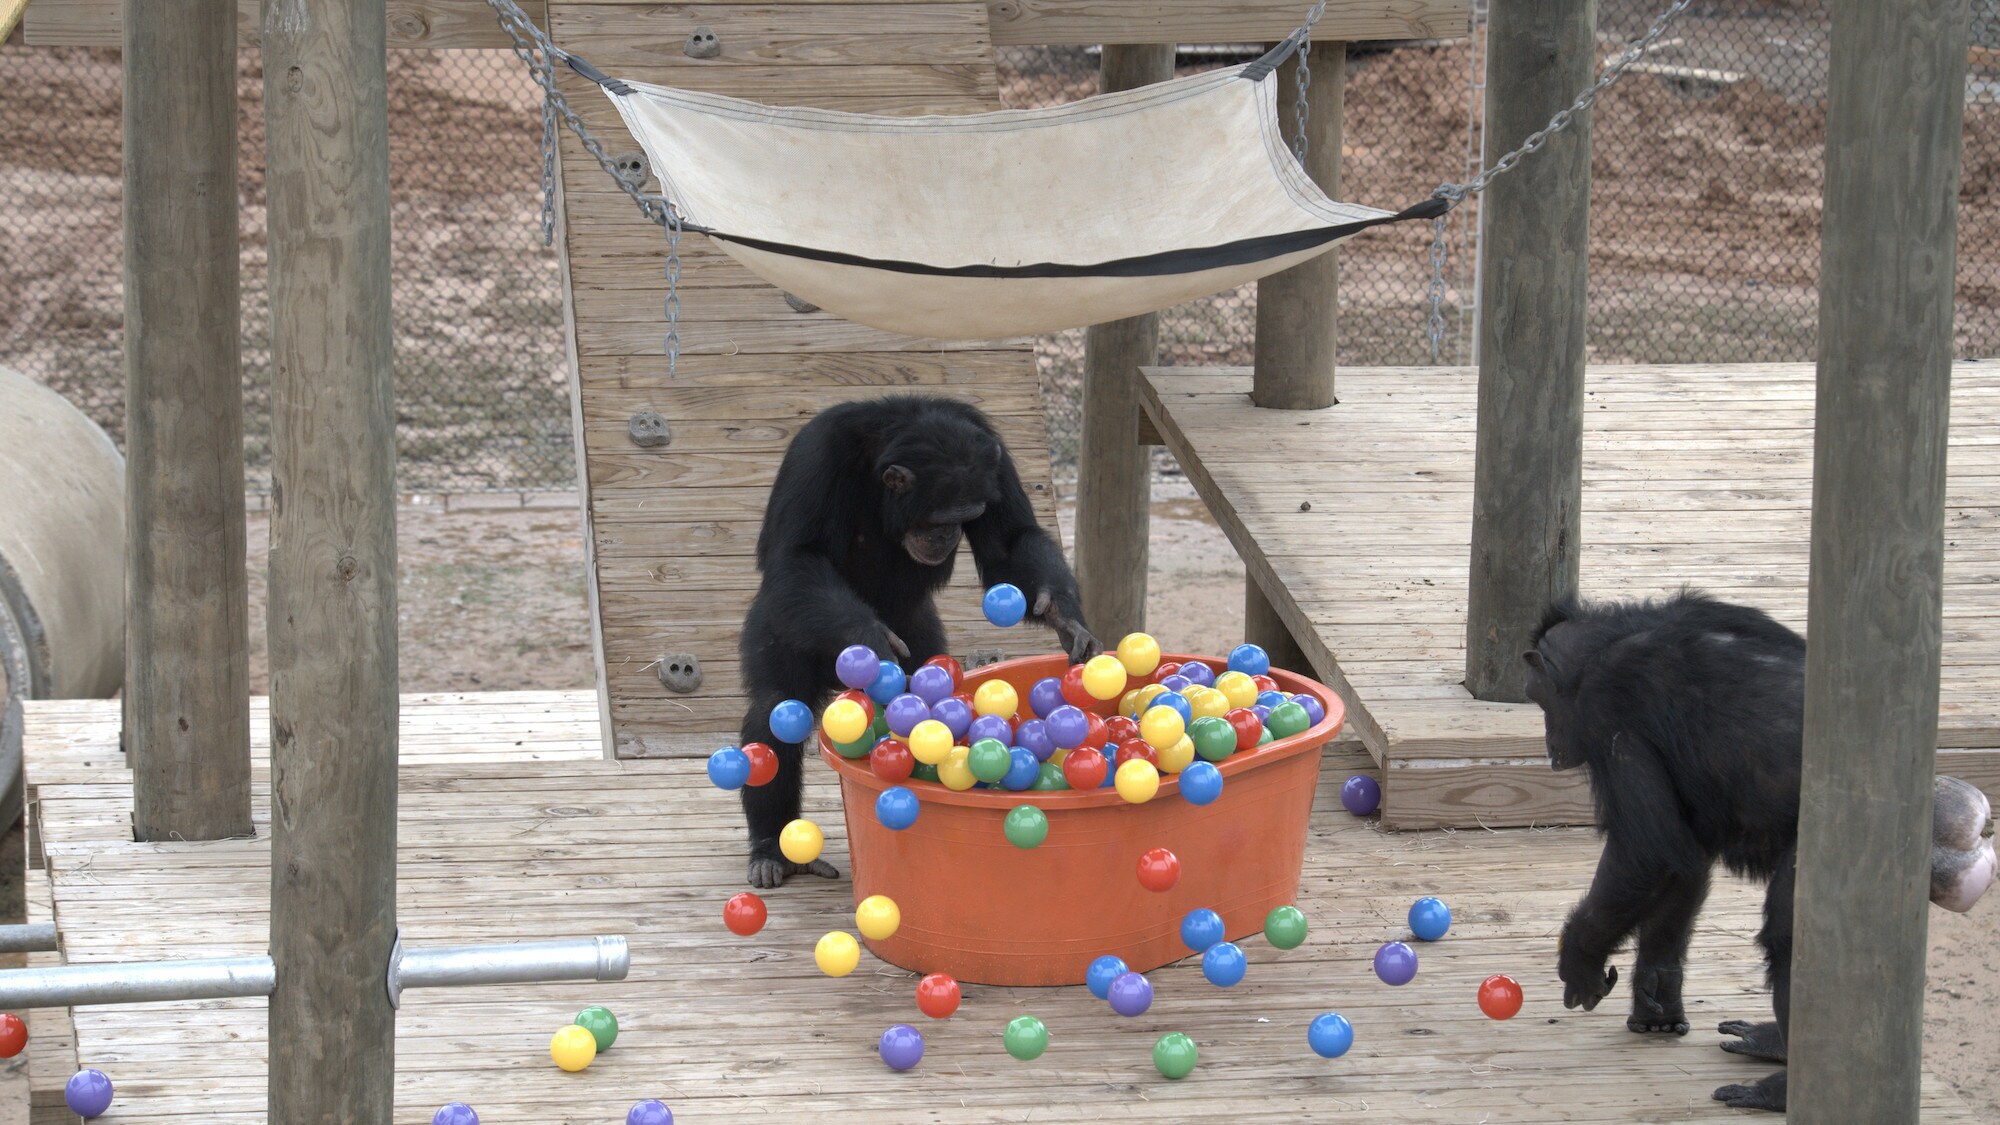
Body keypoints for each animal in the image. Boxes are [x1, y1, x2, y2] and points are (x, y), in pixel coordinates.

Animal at [744, 394, 1104, 884]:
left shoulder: (995, 463)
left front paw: (1061, 611)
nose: (946, 535)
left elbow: (1009, 543)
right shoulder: (816, 457)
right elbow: (798, 554)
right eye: (938, 517)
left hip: (921, 632)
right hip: (777, 623)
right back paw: (771, 848)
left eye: (969, 516)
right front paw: (870, 641)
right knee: (774, 708)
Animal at [1520, 592, 1808, 1104]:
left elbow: (1647, 852)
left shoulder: (1607, 710)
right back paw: (1771, 1044)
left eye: (1537, 698)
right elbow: (1681, 860)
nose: (1549, 740)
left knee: (1787, 936)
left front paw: (1580, 957)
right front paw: (1657, 997)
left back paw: (1779, 1088)